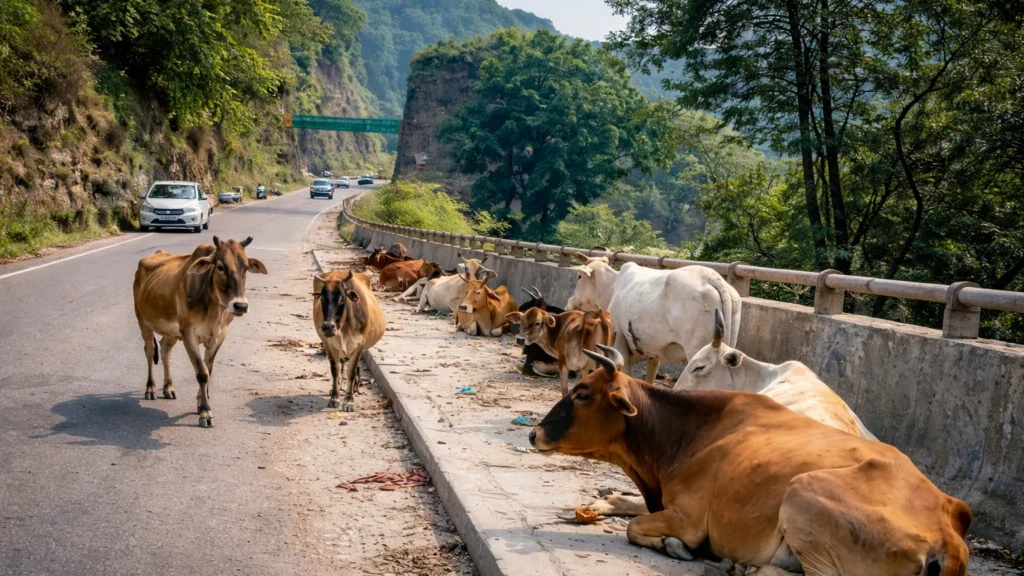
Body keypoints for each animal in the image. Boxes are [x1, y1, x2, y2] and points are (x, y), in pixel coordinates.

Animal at [133, 236, 267, 428]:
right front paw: (205, 412)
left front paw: (200, 403)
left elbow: (208, 370)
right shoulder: (189, 333)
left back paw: (168, 387)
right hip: (143, 320)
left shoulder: (220, 335)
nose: (240, 305)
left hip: (171, 331)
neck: (214, 309)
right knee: (150, 351)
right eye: (220, 266)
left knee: (165, 349)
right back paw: (150, 388)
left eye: (246, 267)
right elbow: (202, 373)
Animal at [313, 269, 385, 411]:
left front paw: (348, 400)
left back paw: (356, 386)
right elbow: (335, 369)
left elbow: (351, 371)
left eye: (342, 298)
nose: (328, 327)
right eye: (322, 298)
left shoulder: (360, 345)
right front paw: (334, 397)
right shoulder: (328, 344)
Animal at [530, 345, 971, 576]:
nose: (533, 433)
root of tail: (947, 534)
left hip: (802, 492)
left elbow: (636, 527)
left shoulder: (689, 518)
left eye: (582, 393)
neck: (685, 434)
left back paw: (744, 567)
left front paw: (675, 547)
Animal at [565, 252, 741, 384]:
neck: (613, 287)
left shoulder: (620, 342)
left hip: (697, 350)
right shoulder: (654, 354)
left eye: (579, 276)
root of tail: (713, 278)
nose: (568, 303)